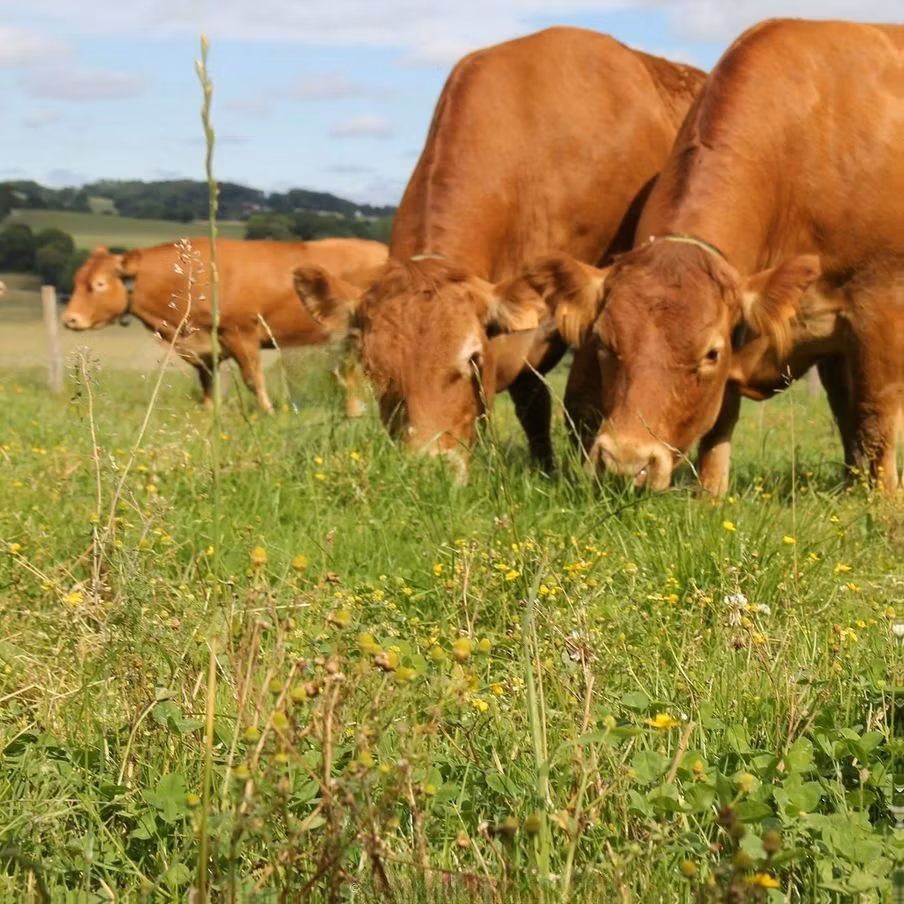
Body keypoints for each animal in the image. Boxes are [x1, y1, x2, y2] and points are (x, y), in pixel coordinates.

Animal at [62, 237, 388, 413]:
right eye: (77, 279)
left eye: (98, 284)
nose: (69, 319)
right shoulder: (202, 346)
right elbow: (207, 380)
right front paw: (208, 411)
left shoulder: (240, 333)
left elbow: (253, 378)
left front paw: (267, 411)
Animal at [293, 27, 706, 476]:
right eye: (373, 368)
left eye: (472, 359)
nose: (430, 468)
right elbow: (533, 404)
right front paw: (546, 469)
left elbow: (581, 401)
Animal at [523, 19, 904, 495]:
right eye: (605, 343)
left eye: (709, 354)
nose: (628, 464)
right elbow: (722, 419)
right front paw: (711, 496)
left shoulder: (878, 306)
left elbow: (875, 413)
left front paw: (881, 501)